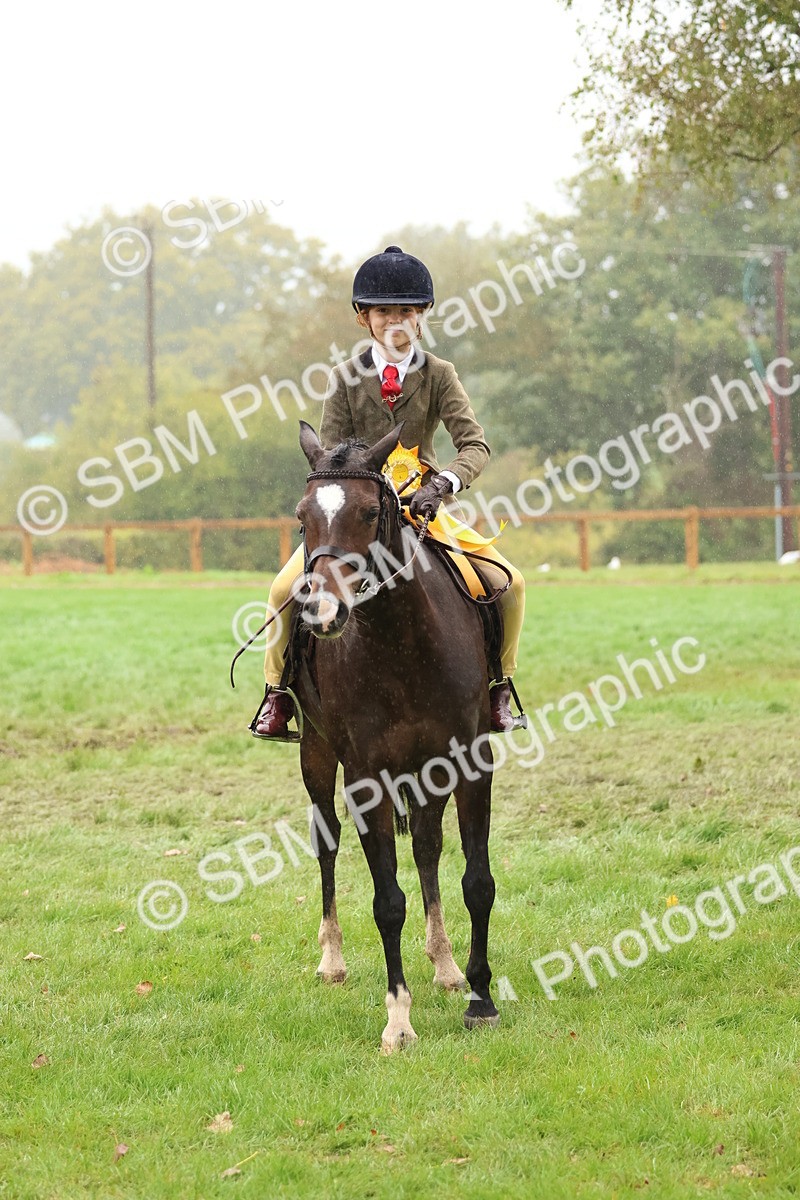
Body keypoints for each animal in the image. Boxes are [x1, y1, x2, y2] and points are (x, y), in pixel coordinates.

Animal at [290, 419, 500, 1052]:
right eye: (302, 516)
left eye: (367, 511)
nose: (322, 613)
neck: (403, 640)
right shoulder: (366, 778)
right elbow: (387, 901)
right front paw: (398, 1020)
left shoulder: (468, 762)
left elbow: (476, 881)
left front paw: (480, 999)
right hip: (315, 755)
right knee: (327, 843)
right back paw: (332, 960)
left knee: (428, 846)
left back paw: (446, 965)